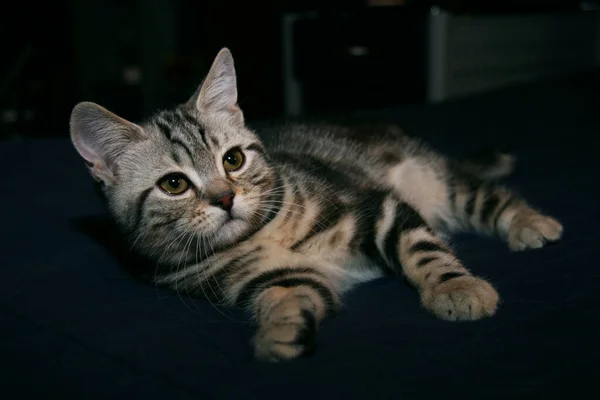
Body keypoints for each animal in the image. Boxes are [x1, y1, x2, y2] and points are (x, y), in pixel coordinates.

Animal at [70, 48, 564, 360]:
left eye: (233, 159)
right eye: (174, 184)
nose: (226, 198)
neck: (263, 233)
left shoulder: (376, 206)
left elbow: (422, 250)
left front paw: (455, 288)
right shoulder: (279, 278)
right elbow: (290, 297)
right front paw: (280, 334)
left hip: (436, 180)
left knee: (486, 196)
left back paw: (530, 223)